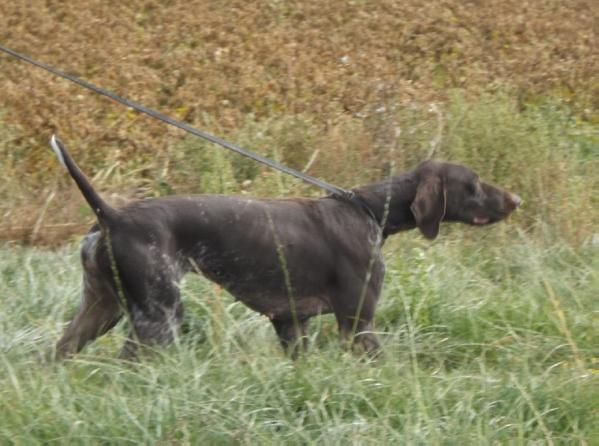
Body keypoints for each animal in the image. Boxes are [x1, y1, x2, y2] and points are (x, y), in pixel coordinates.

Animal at [50, 136, 520, 358]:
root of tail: (111, 216)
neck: (370, 212)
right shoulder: (358, 324)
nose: (516, 199)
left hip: (102, 309)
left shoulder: (292, 324)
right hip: (159, 317)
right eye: (474, 184)